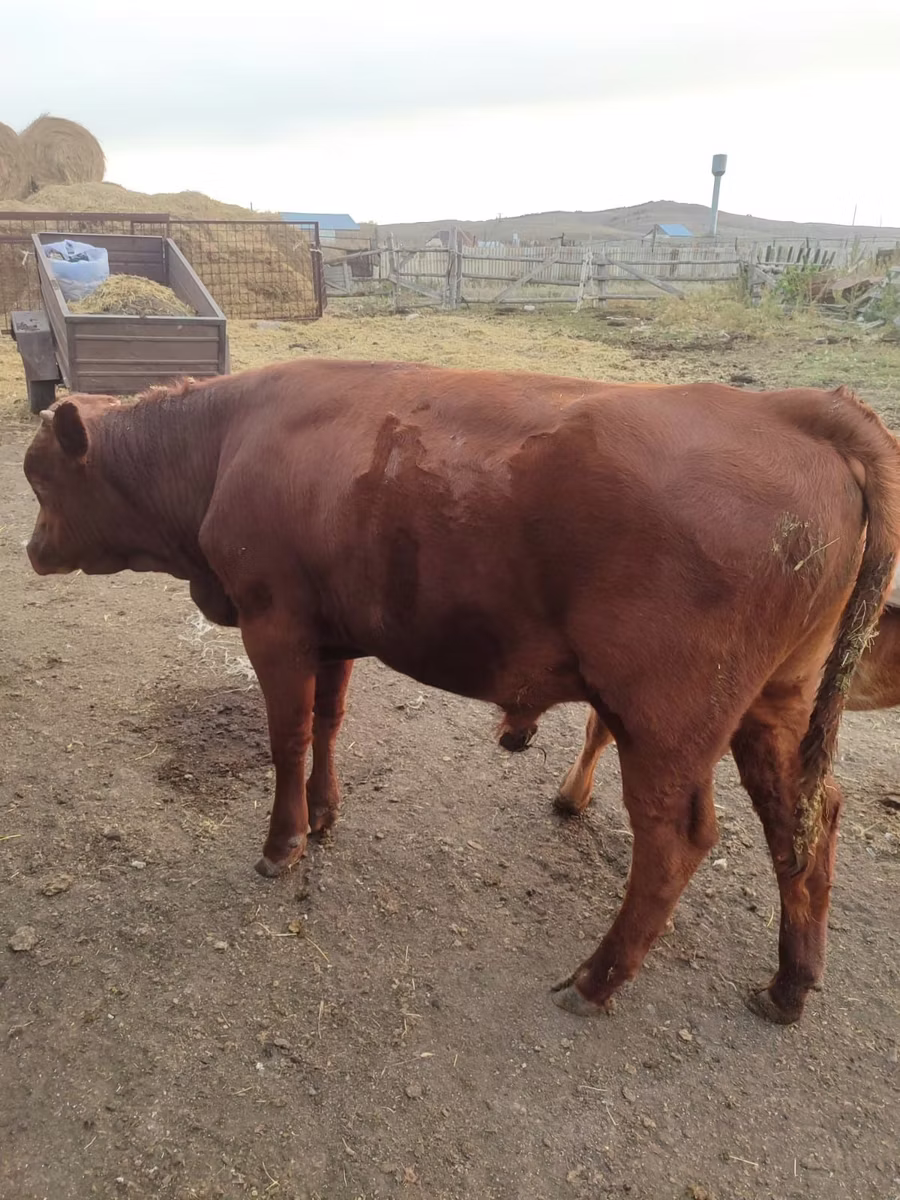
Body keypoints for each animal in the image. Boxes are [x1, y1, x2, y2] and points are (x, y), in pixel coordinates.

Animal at [23, 360, 900, 1026]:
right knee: (807, 819)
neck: (225, 443)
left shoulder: (274, 624)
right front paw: (326, 814)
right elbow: (330, 722)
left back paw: (595, 981)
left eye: (40, 479)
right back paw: (789, 985)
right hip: (776, 704)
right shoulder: (330, 632)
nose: (29, 552)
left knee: (676, 842)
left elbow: (288, 736)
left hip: (668, 721)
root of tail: (796, 408)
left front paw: (282, 844)